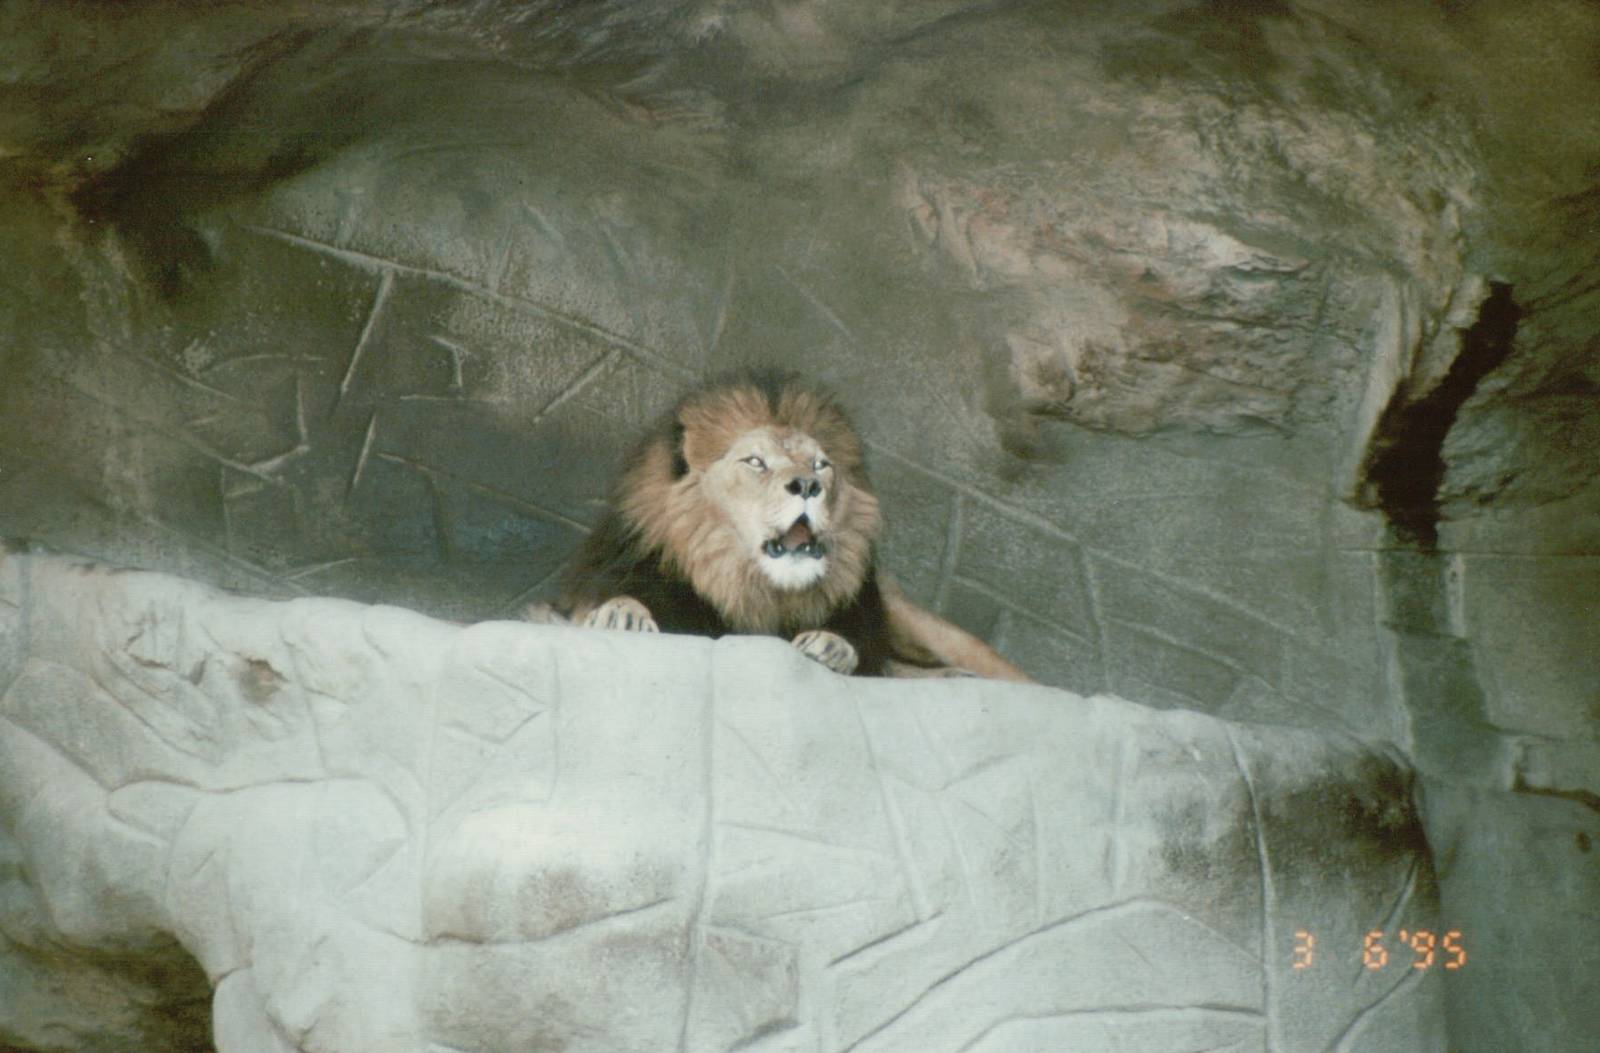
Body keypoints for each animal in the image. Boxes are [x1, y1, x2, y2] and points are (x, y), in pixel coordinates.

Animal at [541, 370, 1031, 681]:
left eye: (821, 465)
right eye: (756, 462)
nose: (808, 485)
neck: (752, 591)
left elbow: (865, 652)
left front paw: (831, 646)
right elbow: (602, 603)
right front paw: (622, 613)